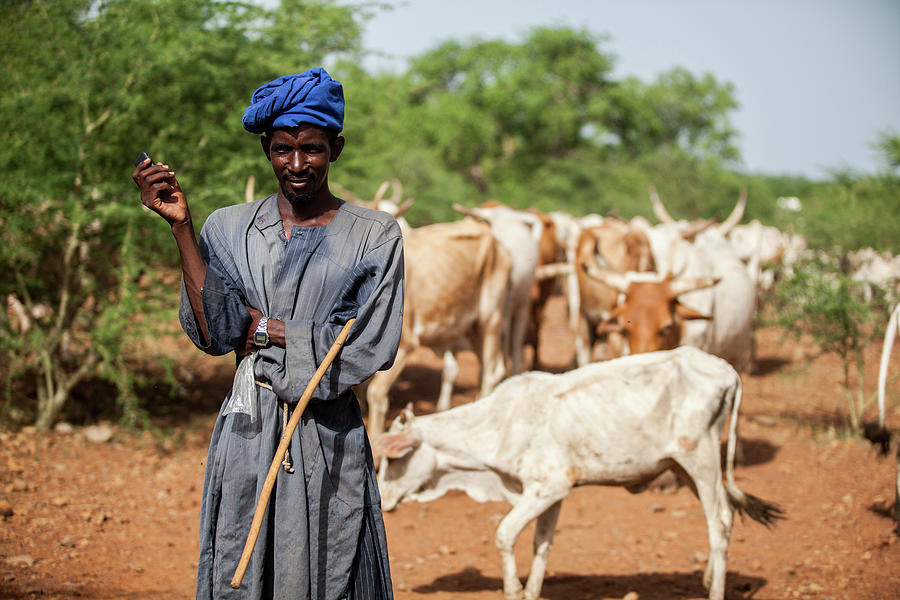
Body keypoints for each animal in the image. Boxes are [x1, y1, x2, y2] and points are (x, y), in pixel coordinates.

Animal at [360, 218, 512, 438]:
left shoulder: (405, 344)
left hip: (490, 319)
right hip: (473, 328)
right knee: (494, 369)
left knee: (490, 373)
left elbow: (376, 395)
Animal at [376, 346, 784, 600]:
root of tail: (726, 370)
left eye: (394, 460)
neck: (499, 424)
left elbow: (504, 535)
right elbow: (541, 544)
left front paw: (513, 589)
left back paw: (715, 589)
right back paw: (708, 578)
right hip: (684, 468)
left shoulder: (546, 487)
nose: (383, 500)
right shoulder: (555, 493)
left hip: (701, 460)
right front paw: (532, 590)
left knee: (721, 521)